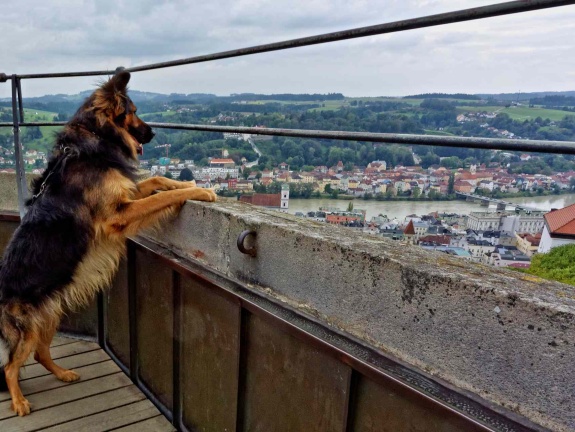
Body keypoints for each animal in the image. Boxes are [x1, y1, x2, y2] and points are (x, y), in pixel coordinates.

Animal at [0, 71, 216, 416]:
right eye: (134, 111)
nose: (152, 133)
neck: (93, 138)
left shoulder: (125, 194)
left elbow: (157, 181)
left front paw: (185, 181)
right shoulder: (119, 212)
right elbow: (161, 197)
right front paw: (202, 191)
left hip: (49, 316)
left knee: (40, 353)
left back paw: (63, 374)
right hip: (28, 328)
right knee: (10, 366)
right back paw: (19, 402)